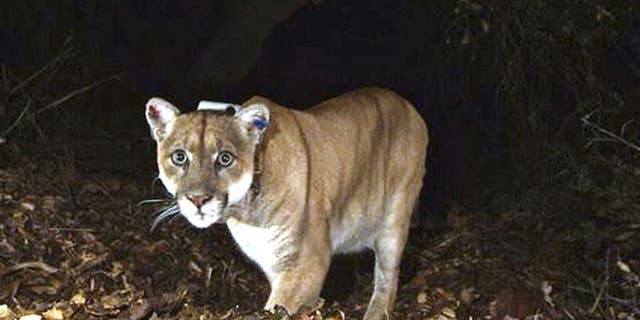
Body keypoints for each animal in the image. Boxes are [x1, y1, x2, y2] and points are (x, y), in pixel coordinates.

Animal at [145, 87, 430, 320]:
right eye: (179, 157)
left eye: (225, 158)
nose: (198, 199)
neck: (245, 212)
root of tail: (408, 105)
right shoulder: (275, 262)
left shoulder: (306, 261)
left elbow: (278, 309)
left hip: (394, 219)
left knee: (387, 279)